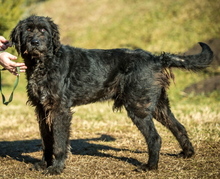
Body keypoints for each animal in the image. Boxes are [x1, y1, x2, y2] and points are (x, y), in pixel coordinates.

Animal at [9, 15, 213, 175]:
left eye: (43, 30)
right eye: (28, 30)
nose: (34, 43)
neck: (45, 63)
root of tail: (156, 58)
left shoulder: (59, 110)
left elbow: (59, 142)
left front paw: (56, 168)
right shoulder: (42, 110)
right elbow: (47, 141)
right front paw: (44, 164)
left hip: (138, 107)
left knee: (155, 138)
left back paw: (150, 167)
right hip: (158, 106)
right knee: (179, 127)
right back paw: (187, 153)